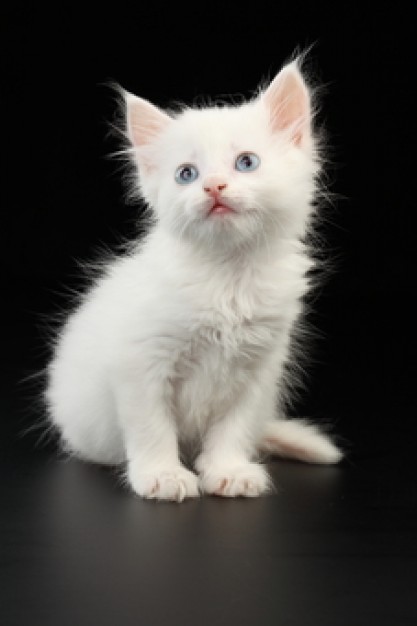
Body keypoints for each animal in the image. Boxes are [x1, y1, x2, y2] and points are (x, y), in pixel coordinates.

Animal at [45, 56, 342, 500]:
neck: (228, 276)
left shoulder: (259, 370)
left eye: (246, 162)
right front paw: (163, 476)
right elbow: (152, 428)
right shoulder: (140, 364)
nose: (213, 186)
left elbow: (232, 428)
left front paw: (228, 470)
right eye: (186, 174)